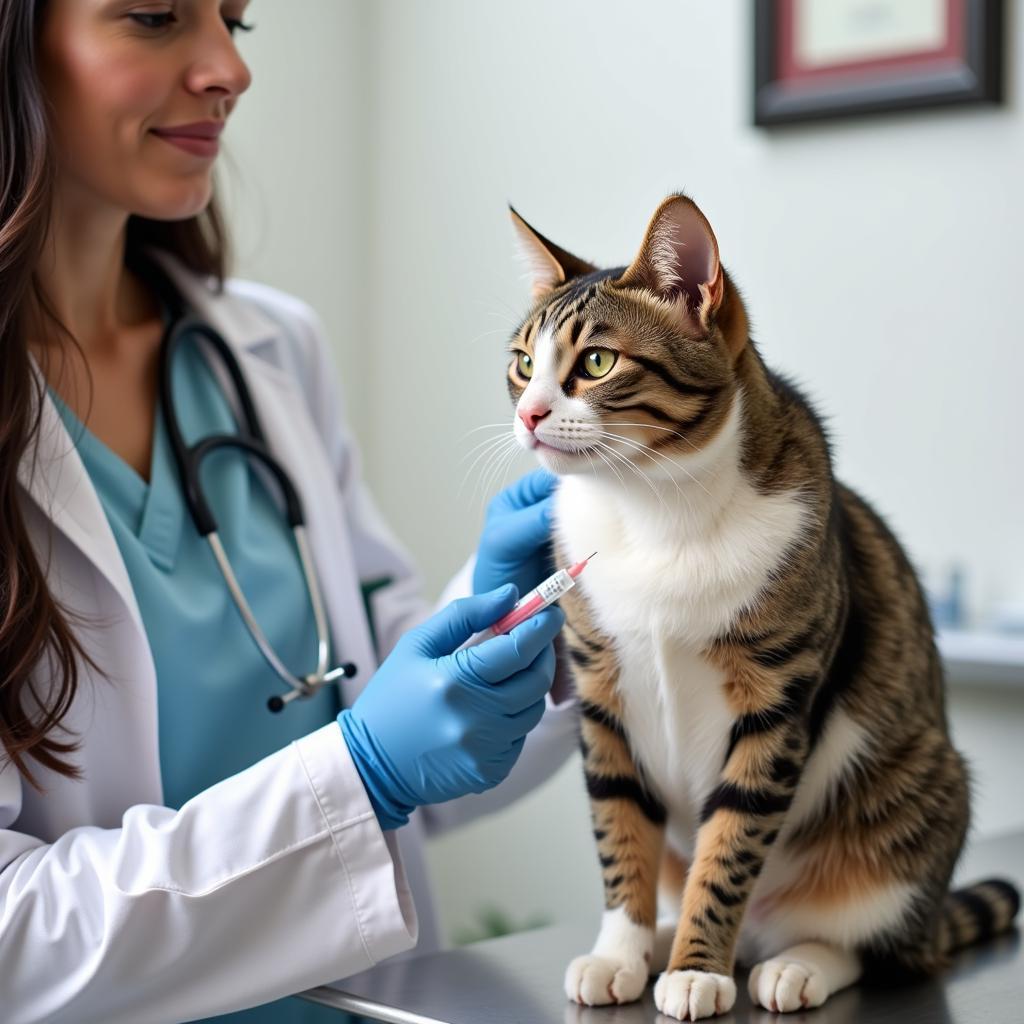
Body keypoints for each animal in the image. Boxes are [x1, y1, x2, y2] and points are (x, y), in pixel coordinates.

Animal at [503, 193, 1015, 1015]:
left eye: (596, 362)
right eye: (523, 365)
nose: (529, 415)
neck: (652, 512)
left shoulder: (775, 703)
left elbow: (731, 843)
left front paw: (696, 968)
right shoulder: (601, 696)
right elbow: (620, 828)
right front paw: (619, 949)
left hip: (918, 796)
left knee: (873, 943)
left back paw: (792, 964)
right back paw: (661, 940)